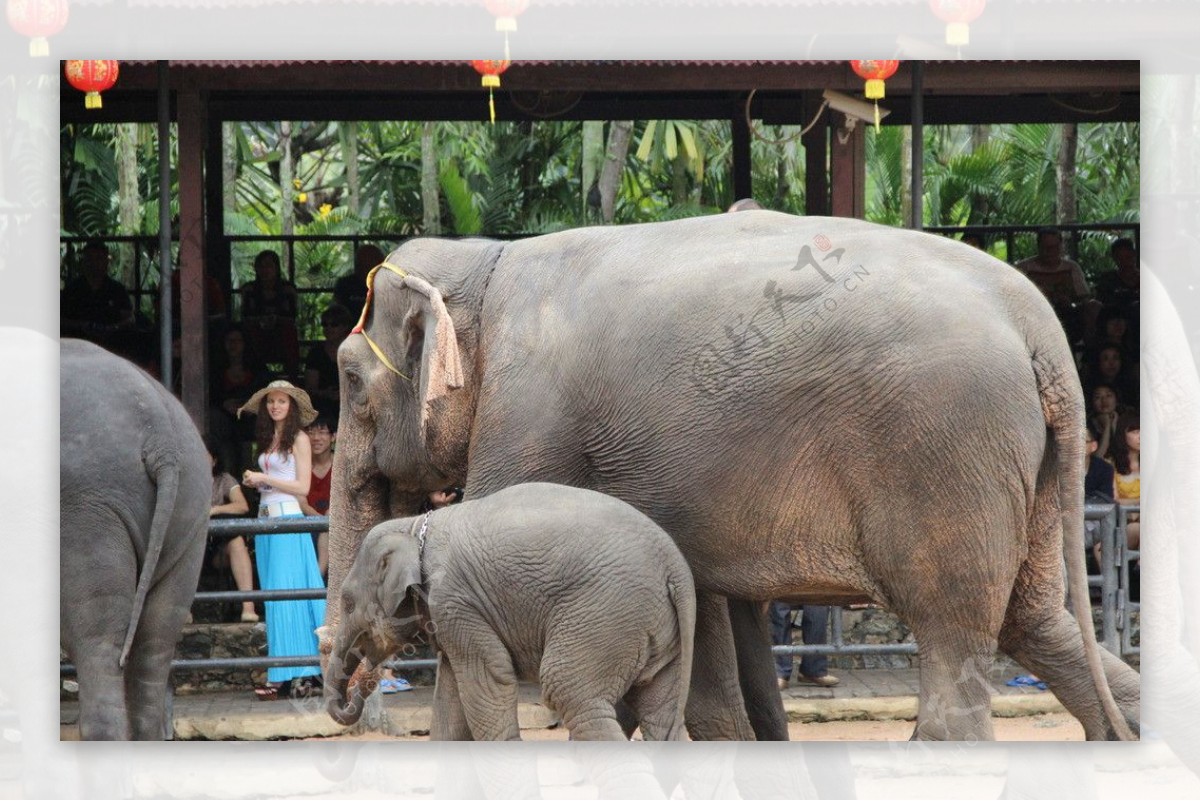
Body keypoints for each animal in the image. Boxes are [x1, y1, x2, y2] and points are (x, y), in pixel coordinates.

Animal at [321, 482, 696, 738]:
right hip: (654, 628)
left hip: (606, 612)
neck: (415, 526)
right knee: (661, 713)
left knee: (570, 692)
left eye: (347, 602)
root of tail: (674, 564)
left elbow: (489, 681)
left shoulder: (456, 601)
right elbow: (451, 699)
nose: (356, 696)